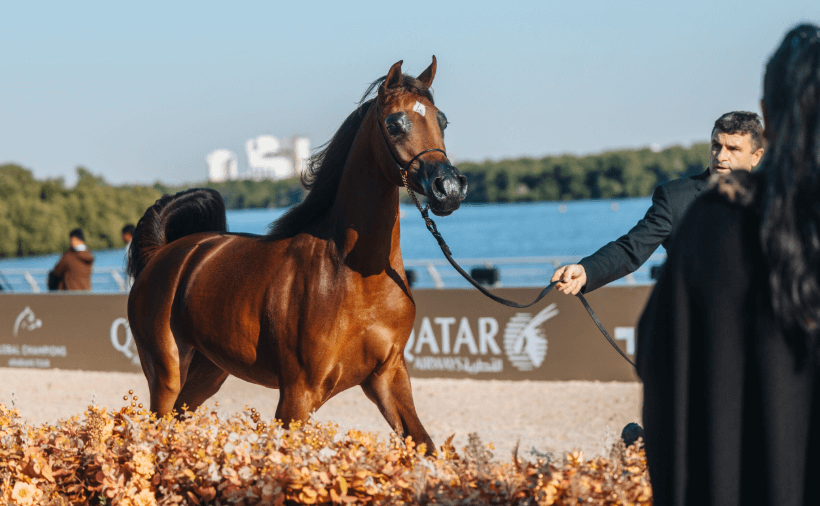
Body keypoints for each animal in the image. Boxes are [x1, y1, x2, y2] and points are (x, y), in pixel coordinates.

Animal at [126, 57, 467, 453]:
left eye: (442, 120)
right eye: (394, 123)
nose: (449, 188)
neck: (355, 275)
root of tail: (164, 255)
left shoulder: (388, 377)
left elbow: (426, 447)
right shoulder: (298, 394)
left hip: (208, 372)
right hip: (166, 373)